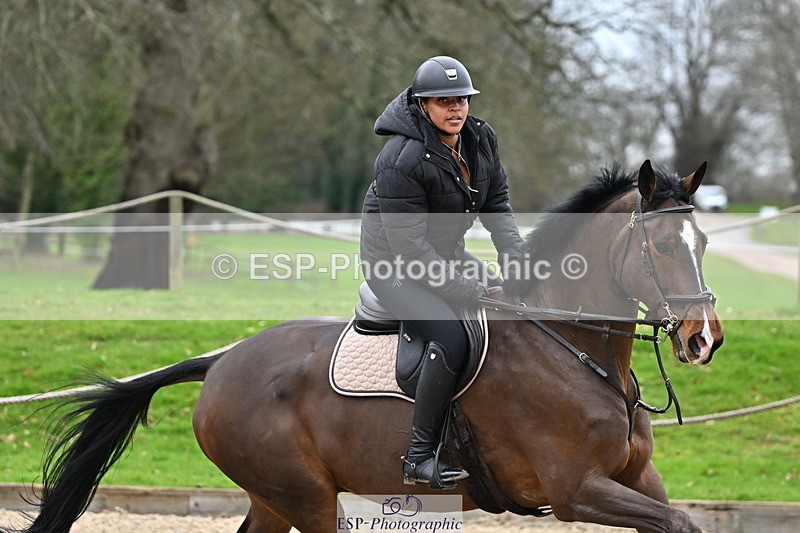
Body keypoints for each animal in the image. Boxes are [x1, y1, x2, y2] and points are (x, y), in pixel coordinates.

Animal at [4, 160, 724, 533]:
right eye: (664, 246)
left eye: (706, 242)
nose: (703, 338)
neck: (572, 349)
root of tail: (223, 361)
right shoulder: (577, 489)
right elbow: (681, 523)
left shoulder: (636, 480)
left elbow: (677, 518)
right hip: (306, 497)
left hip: (273, 499)